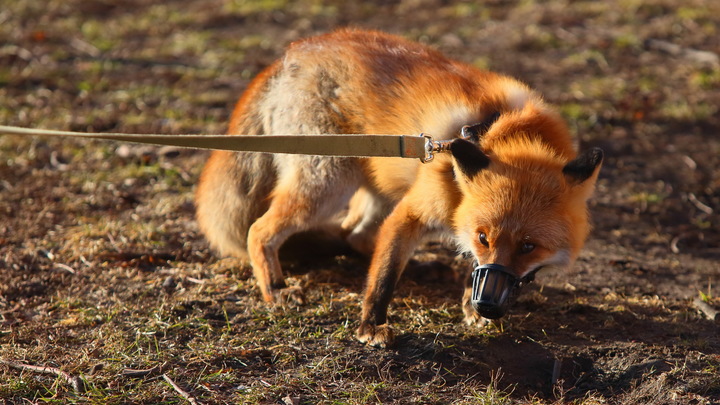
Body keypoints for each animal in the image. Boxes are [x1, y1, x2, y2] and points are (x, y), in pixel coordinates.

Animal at [195, 28, 600, 346]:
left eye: (529, 246)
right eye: (484, 237)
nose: (487, 304)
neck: (502, 134)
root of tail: (293, 52)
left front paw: (469, 304)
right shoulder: (411, 212)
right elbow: (385, 274)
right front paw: (371, 325)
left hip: (371, 185)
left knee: (354, 235)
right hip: (328, 184)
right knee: (260, 230)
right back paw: (276, 289)